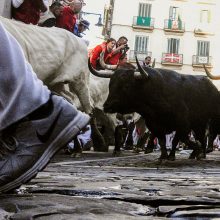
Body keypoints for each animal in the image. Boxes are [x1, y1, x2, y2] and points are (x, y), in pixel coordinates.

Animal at [88, 57, 220, 159]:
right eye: (110, 85)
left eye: (126, 86)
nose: (107, 106)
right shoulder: (154, 124)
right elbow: (162, 140)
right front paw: (163, 156)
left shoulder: (183, 125)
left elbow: (178, 139)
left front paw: (174, 154)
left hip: (203, 122)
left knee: (203, 136)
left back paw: (200, 153)